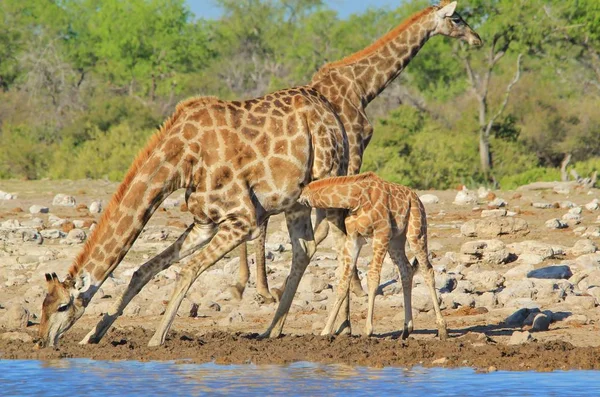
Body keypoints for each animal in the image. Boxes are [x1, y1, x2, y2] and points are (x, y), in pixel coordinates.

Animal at [38, 90, 346, 346]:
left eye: (63, 306)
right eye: (43, 303)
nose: (42, 341)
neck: (181, 162)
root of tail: (330, 110)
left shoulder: (243, 219)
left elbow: (187, 270)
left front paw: (156, 339)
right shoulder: (204, 223)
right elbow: (142, 271)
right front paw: (93, 335)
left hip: (328, 178)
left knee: (345, 245)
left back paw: (331, 330)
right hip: (296, 198)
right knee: (304, 248)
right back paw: (272, 330)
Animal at [298, 172, 448, 338]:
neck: (355, 199)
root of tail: (416, 198)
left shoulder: (381, 234)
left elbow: (373, 278)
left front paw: (368, 330)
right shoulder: (353, 238)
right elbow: (343, 283)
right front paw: (325, 331)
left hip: (416, 233)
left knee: (427, 270)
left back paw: (442, 329)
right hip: (396, 240)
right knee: (406, 271)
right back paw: (406, 330)